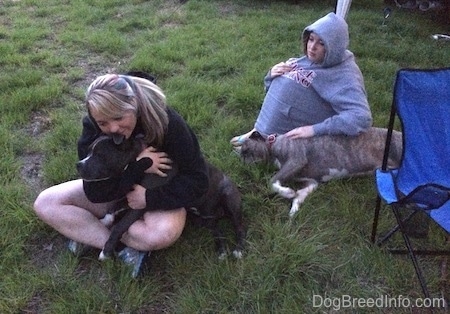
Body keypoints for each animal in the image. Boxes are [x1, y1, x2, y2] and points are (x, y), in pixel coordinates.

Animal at [75, 135, 244, 260]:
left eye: (99, 155)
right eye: (88, 151)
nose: (78, 164)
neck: (136, 161)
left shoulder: (141, 203)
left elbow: (120, 226)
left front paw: (106, 251)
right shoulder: (129, 195)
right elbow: (111, 210)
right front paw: (104, 221)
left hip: (230, 200)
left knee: (240, 226)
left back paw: (239, 250)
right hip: (207, 218)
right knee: (217, 229)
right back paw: (221, 251)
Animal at [241, 126, 402, 217]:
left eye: (246, 151)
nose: (243, 167)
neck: (272, 143)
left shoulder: (296, 159)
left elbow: (272, 181)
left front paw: (288, 192)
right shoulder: (311, 182)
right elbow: (300, 195)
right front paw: (293, 209)